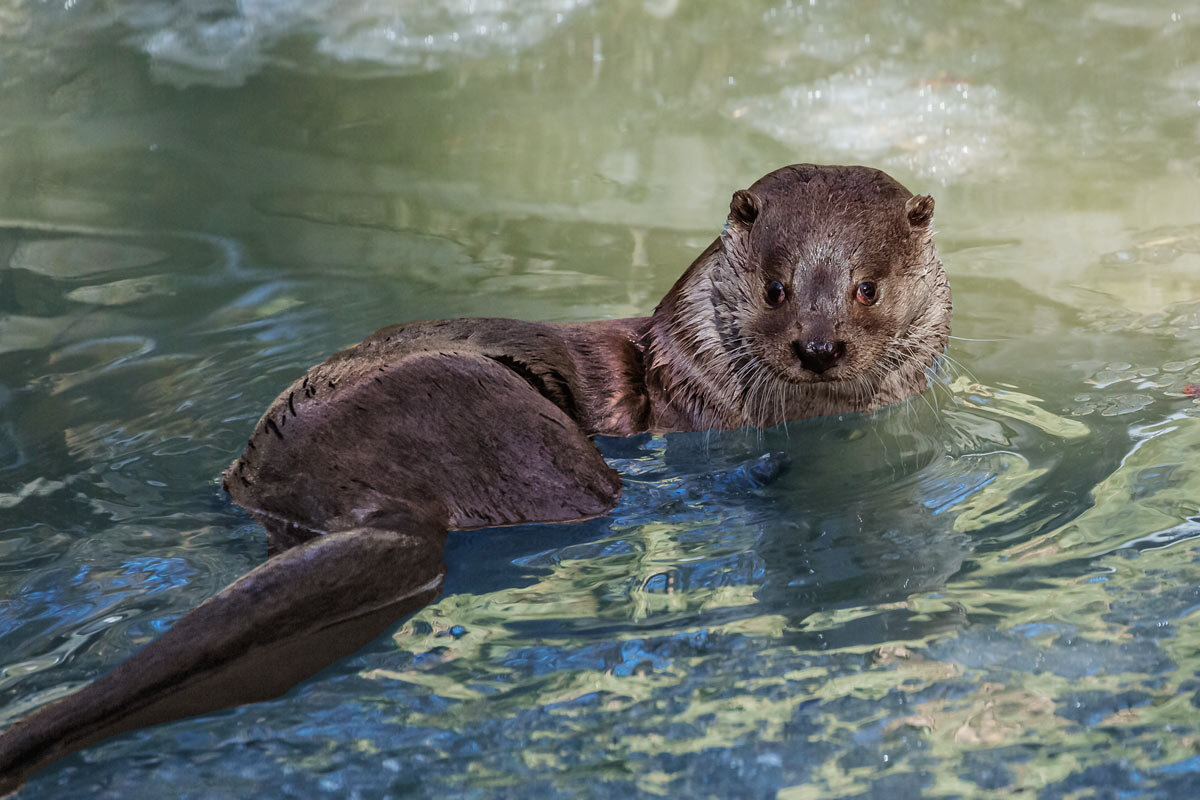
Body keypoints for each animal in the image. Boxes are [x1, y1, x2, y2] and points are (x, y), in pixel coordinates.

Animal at [0, 164, 945, 796]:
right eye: (778, 288)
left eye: (867, 287)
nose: (819, 346)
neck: (690, 367)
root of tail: (335, 491)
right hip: (487, 415)